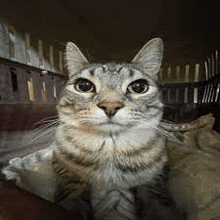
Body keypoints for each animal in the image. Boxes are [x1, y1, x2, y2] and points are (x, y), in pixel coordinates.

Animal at [51, 38, 174, 220]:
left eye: (138, 87)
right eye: (84, 85)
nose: (110, 105)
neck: (110, 148)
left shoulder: (156, 178)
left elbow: (154, 198)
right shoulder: (62, 167)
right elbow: (71, 189)